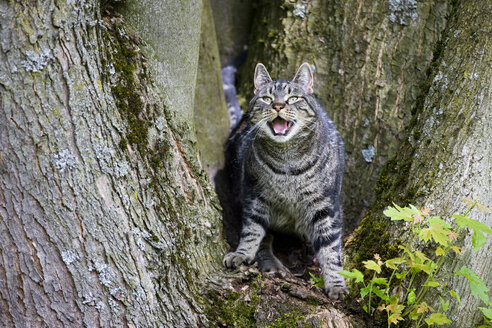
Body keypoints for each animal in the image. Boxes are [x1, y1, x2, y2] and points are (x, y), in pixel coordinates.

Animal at [221, 62, 348, 300]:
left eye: (292, 98)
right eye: (267, 98)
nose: (278, 106)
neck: (287, 162)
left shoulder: (326, 206)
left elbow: (330, 248)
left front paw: (336, 283)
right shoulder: (255, 196)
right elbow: (252, 231)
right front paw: (242, 253)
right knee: (265, 239)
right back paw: (272, 265)